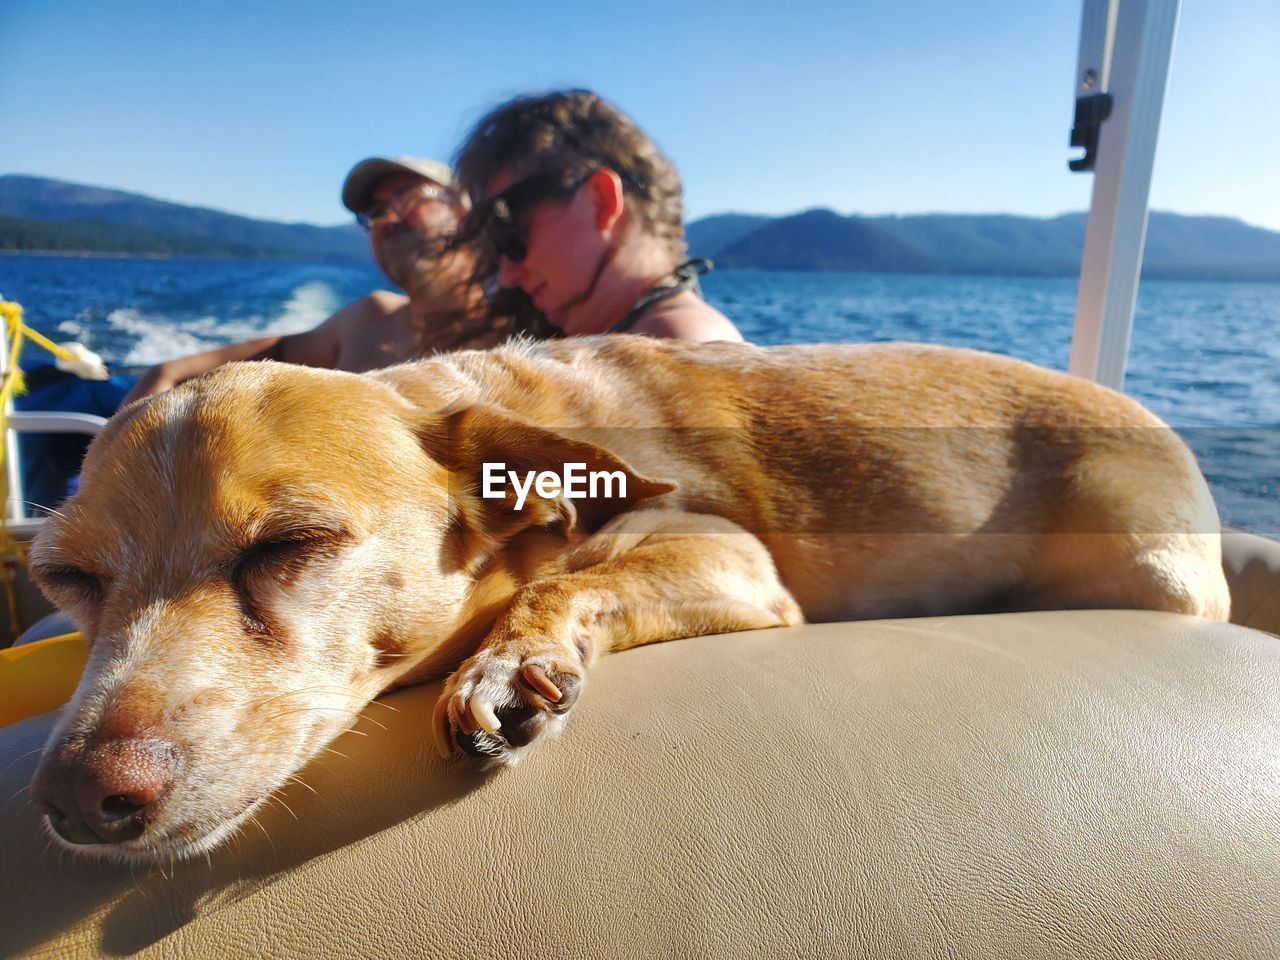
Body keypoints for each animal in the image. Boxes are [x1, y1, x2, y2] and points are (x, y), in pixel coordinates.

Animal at [24, 337, 1223, 865]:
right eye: (65, 580)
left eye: (292, 545)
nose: (75, 797)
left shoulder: (729, 556)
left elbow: (580, 582)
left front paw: (504, 667)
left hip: (1149, 566)